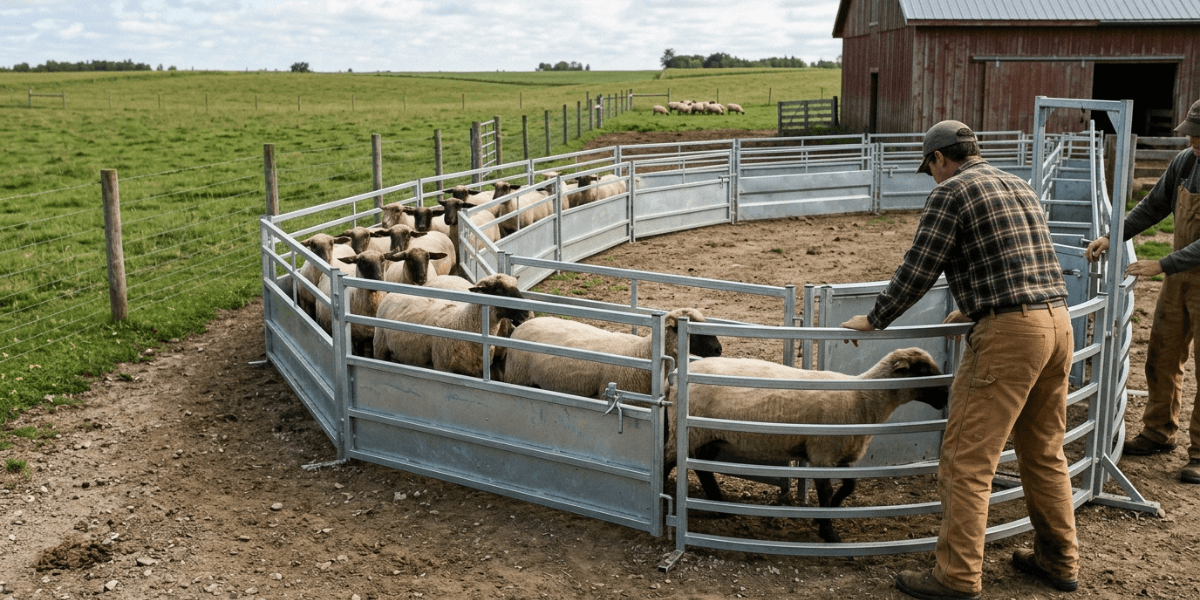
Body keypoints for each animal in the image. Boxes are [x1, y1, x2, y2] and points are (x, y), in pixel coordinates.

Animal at [372, 273, 528, 378]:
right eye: (500, 290)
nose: (526, 312)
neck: (464, 324)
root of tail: (391, 293)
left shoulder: (478, 371)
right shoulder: (442, 366)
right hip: (380, 346)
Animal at [663, 347, 949, 543]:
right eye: (923, 370)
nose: (947, 395)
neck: (863, 400)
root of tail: (673, 380)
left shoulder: (842, 455)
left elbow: (849, 486)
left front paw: (832, 510)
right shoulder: (823, 452)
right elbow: (825, 491)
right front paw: (828, 531)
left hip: (710, 435)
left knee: (701, 466)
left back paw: (719, 506)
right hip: (690, 431)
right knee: (667, 459)